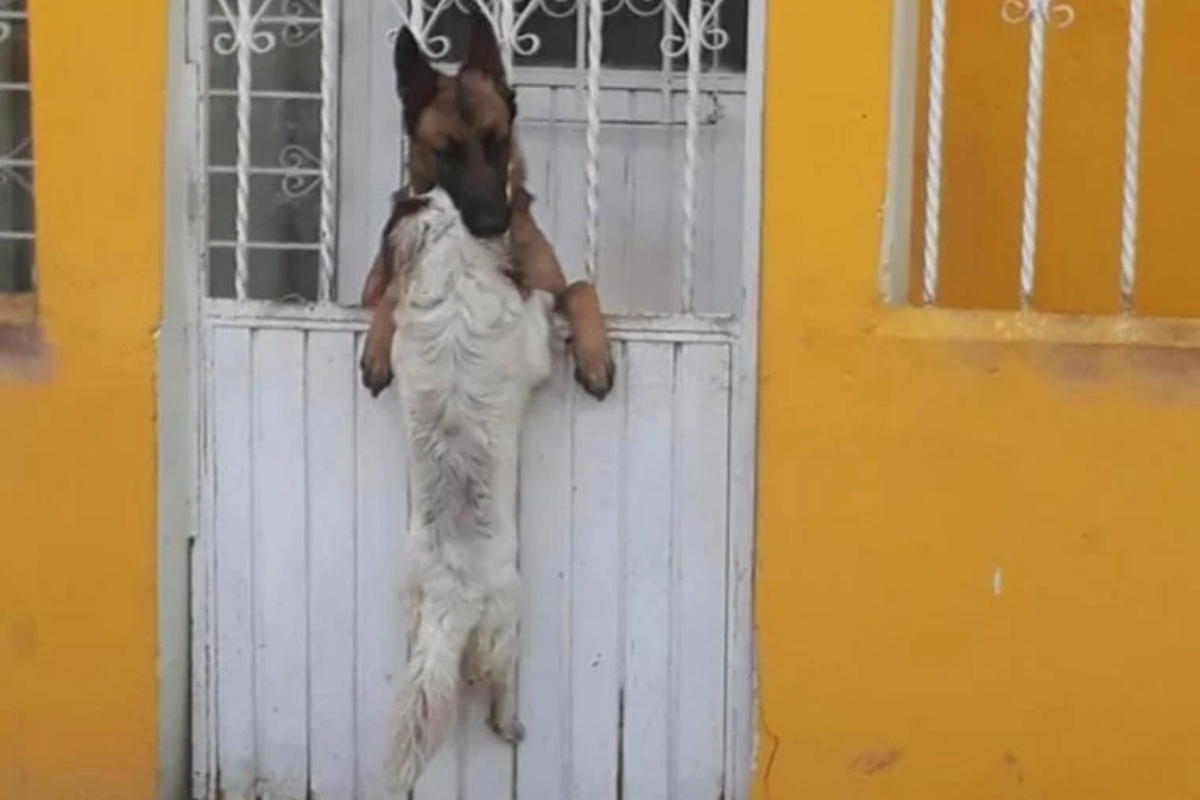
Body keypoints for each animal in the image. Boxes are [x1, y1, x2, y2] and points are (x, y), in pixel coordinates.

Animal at [352, 13, 619, 402]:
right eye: (446, 153)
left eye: (497, 141)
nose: (494, 223)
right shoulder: (370, 296)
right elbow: (390, 292)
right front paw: (376, 345)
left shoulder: (550, 289)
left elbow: (581, 287)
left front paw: (595, 355)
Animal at [381, 184, 554, 791]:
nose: (417, 187)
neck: (452, 274)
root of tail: (449, 597)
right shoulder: (533, 353)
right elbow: (537, 318)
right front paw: (545, 297)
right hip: (507, 619)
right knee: (498, 683)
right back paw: (510, 724)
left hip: (414, 604)